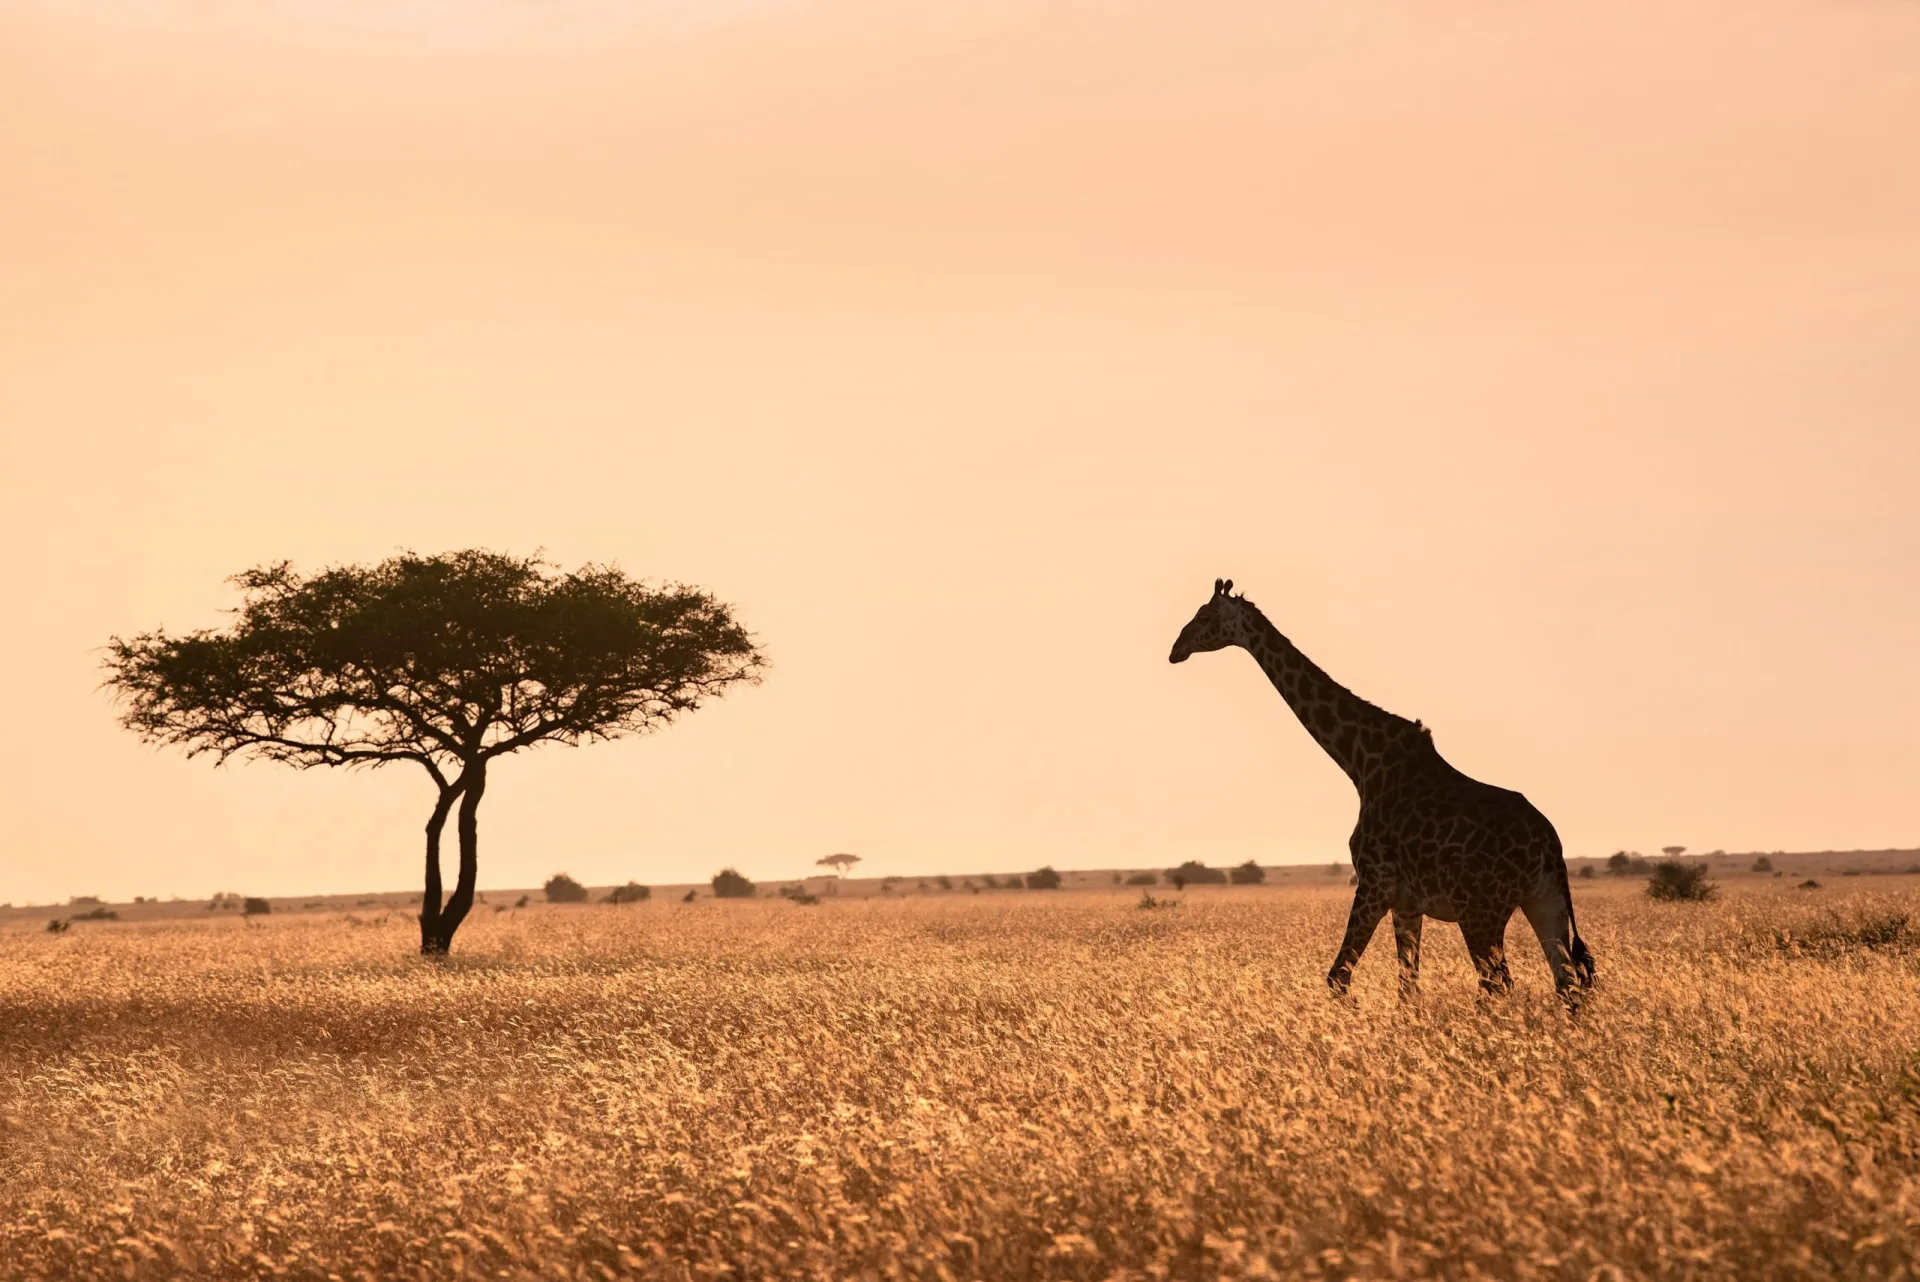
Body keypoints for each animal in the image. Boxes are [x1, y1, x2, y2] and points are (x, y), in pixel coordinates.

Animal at [1169, 579, 1595, 1008]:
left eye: (1204, 616)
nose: (1175, 650)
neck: (1360, 762)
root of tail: (1550, 844)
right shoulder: (1406, 903)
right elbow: (1407, 987)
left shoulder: (1374, 883)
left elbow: (1338, 977)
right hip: (1544, 901)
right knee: (1565, 985)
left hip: (1481, 911)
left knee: (1498, 984)